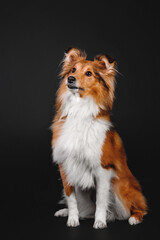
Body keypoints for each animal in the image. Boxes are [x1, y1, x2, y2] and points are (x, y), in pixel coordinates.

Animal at [51, 47, 148, 229]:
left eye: (89, 73)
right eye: (73, 70)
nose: (70, 79)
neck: (79, 110)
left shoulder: (102, 169)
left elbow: (101, 201)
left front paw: (100, 221)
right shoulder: (66, 166)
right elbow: (71, 199)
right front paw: (72, 219)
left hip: (120, 186)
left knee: (138, 207)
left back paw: (134, 218)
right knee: (85, 210)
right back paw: (66, 212)